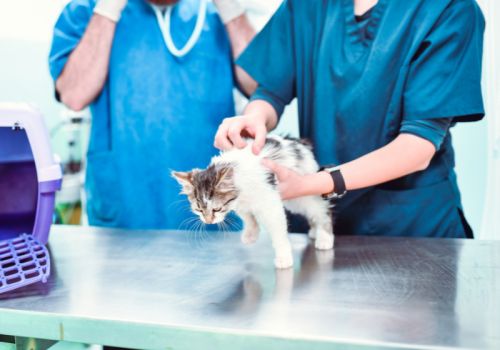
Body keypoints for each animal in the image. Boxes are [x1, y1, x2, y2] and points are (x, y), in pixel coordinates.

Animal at [173, 135, 336, 270]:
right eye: (199, 210)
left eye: (216, 209)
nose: (208, 221)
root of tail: (300, 144)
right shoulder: (239, 203)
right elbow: (248, 217)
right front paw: (251, 233)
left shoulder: (270, 202)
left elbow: (278, 233)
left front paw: (283, 257)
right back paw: (315, 231)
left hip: (303, 193)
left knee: (321, 210)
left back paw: (324, 237)